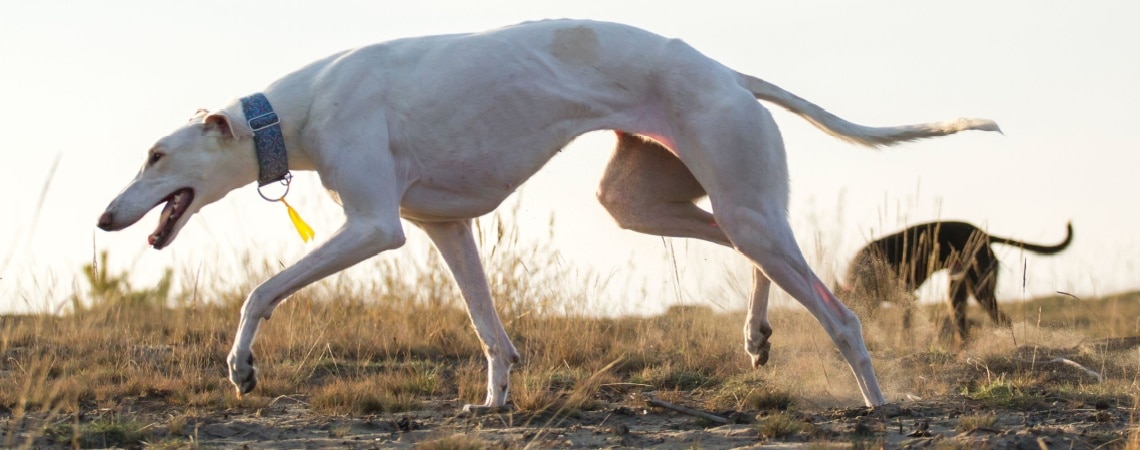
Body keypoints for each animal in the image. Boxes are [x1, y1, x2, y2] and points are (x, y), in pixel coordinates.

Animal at [98, 19, 998, 410]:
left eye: (154, 155)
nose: (106, 218)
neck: (294, 112)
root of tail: (729, 71)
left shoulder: (376, 226)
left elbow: (259, 291)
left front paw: (241, 368)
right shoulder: (443, 226)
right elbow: (490, 331)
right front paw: (496, 401)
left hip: (741, 200)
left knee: (841, 315)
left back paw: (876, 401)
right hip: (650, 202)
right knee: (754, 257)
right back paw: (756, 337)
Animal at [843, 219, 1071, 339]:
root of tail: (984, 235)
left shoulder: (908, 297)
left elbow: (905, 327)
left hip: (979, 290)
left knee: (1002, 321)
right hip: (958, 291)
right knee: (965, 326)